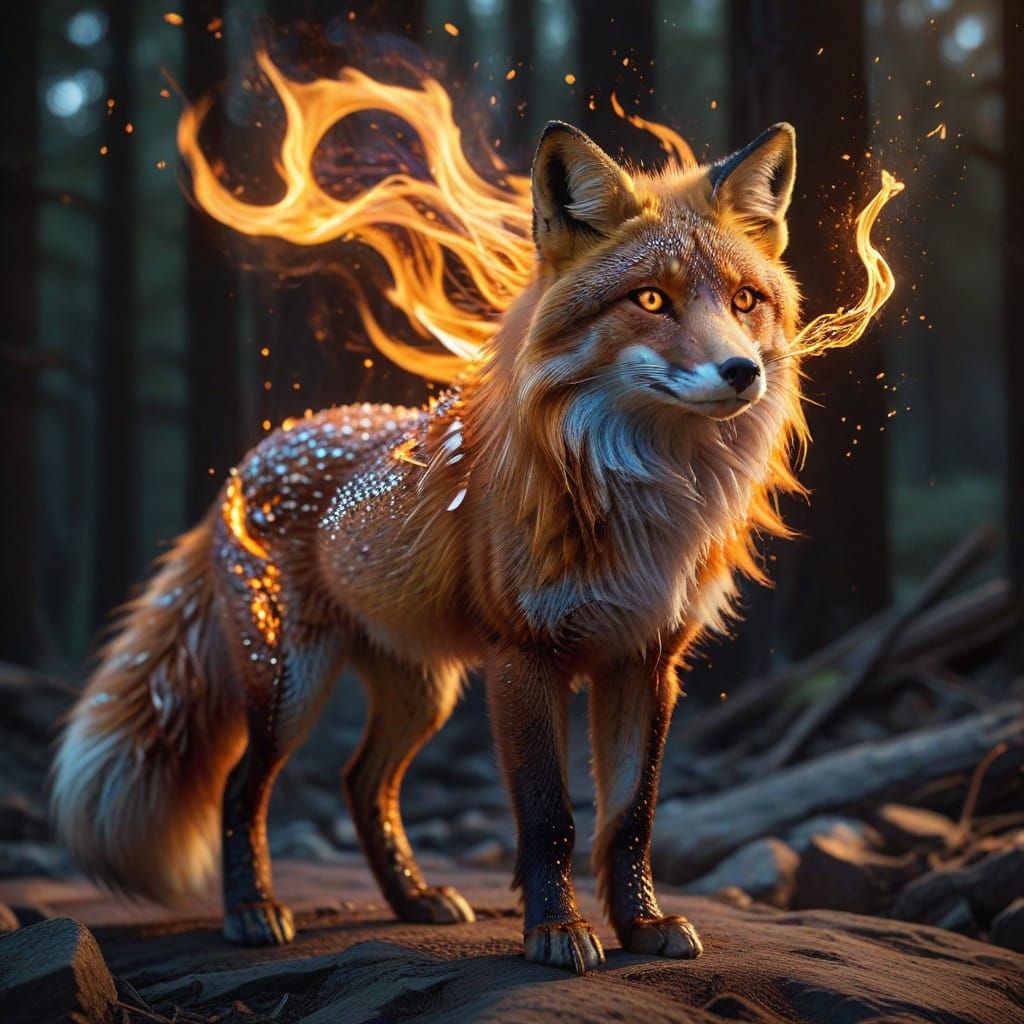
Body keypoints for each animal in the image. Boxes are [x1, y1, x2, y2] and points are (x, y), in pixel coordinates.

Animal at [52, 118, 807, 974]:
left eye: (746, 300)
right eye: (651, 299)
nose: (741, 371)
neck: (648, 500)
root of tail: (252, 458)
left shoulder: (644, 661)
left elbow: (632, 817)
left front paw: (643, 925)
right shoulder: (524, 656)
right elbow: (550, 818)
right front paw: (555, 931)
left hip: (421, 691)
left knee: (362, 784)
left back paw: (412, 898)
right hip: (289, 682)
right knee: (245, 786)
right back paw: (252, 909)